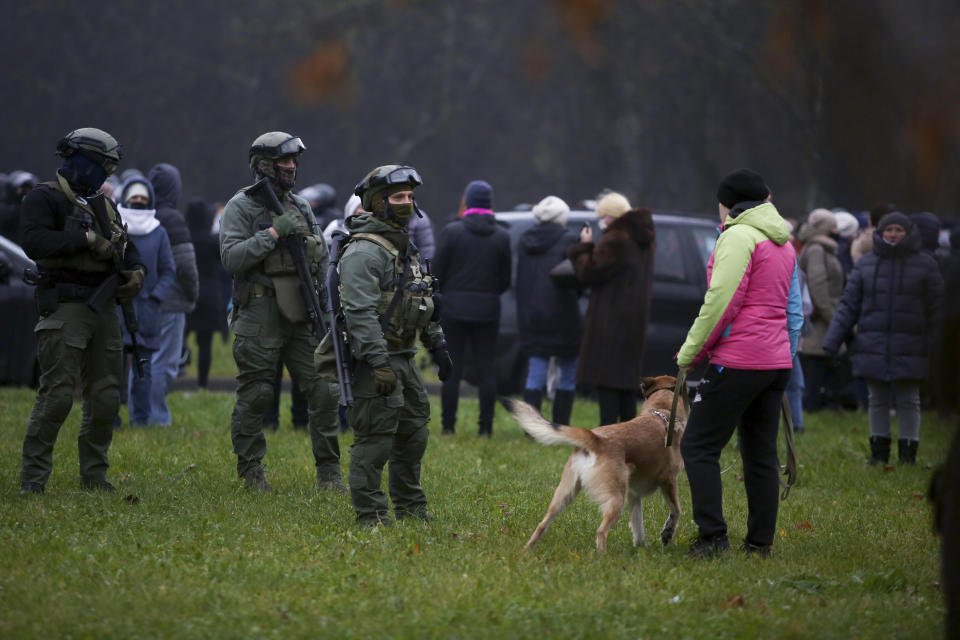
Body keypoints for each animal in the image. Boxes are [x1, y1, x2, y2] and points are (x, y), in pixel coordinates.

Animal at [506, 378, 688, 552]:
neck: (662, 412)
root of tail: (597, 439)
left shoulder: (634, 494)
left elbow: (638, 525)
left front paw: (642, 547)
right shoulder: (668, 479)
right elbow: (676, 510)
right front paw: (667, 534)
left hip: (565, 493)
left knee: (542, 524)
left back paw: (527, 550)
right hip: (616, 498)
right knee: (601, 531)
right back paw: (603, 558)